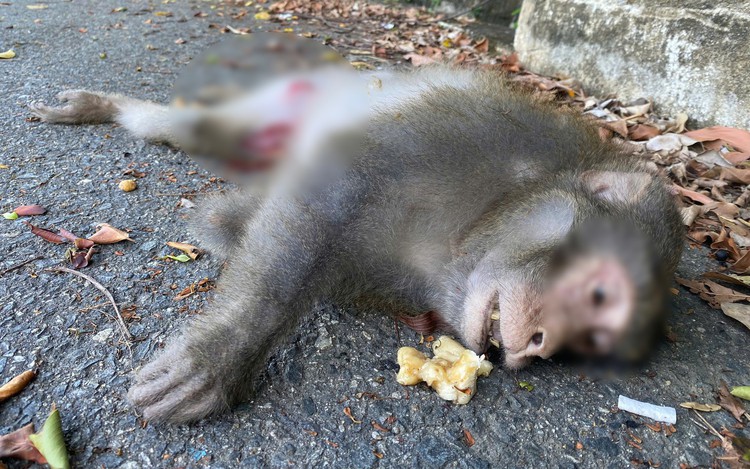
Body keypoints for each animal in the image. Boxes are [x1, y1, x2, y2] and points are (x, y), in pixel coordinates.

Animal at [30, 64, 684, 423]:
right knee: (200, 129)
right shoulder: (479, 131)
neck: (486, 213)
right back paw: (106, 107)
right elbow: (337, 181)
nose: (542, 347)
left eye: (588, 342)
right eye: (600, 294)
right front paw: (220, 359)